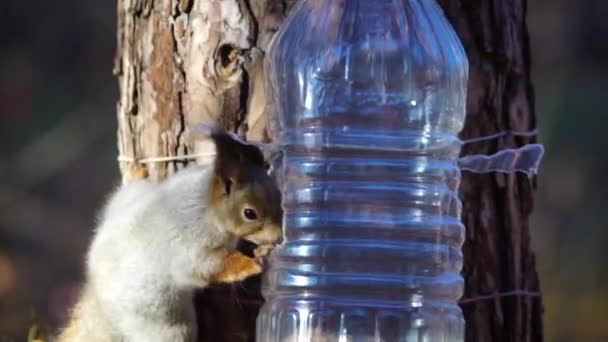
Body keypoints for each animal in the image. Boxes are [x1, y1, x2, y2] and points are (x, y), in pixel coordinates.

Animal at [56, 130, 282, 340]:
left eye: (279, 195)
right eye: (249, 213)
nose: (280, 237)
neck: (205, 204)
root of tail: (98, 297)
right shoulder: (191, 245)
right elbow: (209, 266)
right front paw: (251, 263)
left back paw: (137, 171)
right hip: (162, 323)